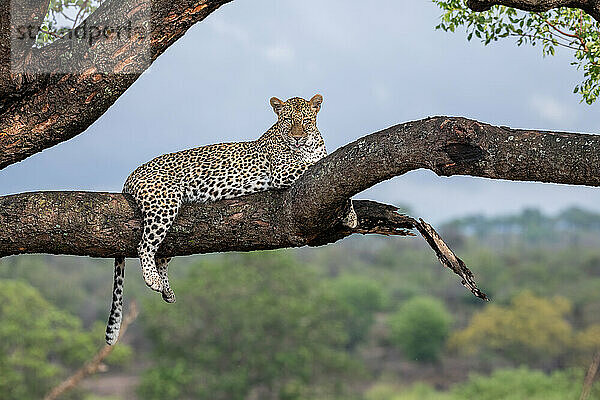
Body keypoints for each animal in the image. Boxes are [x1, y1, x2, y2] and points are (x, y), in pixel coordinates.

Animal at [104, 94, 356, 344]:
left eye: (305, 121)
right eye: (287, 121)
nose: (297, 138)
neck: (308, 146)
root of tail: (131, 175)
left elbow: (339, 185)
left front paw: (351, 216)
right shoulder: (282, 171)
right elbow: (311, 165)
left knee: (161, 254)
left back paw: (166, 290)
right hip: (164, 202)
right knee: (144, 246)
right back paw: (152, 279)